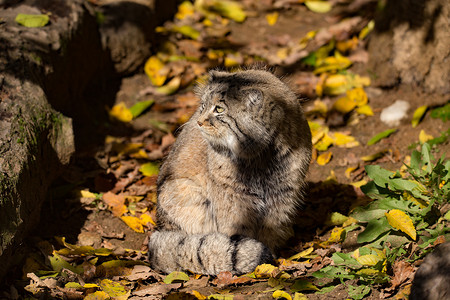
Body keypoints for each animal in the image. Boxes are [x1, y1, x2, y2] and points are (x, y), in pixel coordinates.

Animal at [149, 69, 312, 276]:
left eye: (219, 109)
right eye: (203, 106)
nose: (199, 122)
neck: (260, 158)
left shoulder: (282, 197)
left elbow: (270, 230)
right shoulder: (232, 200)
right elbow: (236, 230)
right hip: (182, 192)